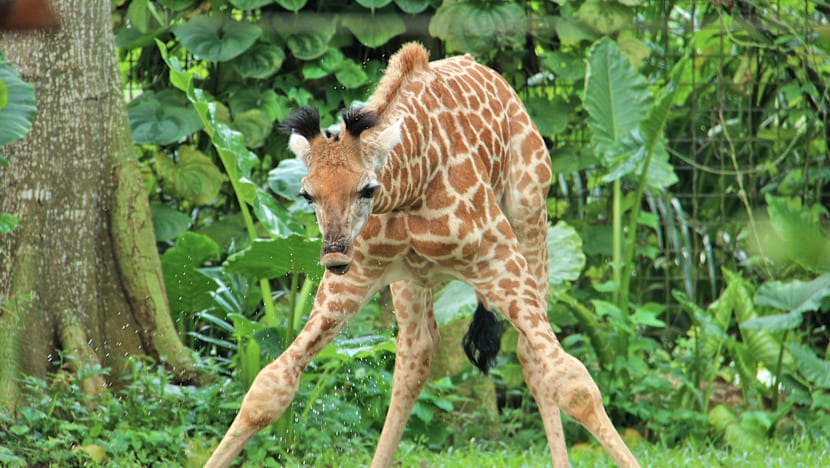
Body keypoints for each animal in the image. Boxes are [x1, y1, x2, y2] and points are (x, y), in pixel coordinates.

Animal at [205, 42, 639, 468]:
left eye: (367, 189)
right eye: (306, 194)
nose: (332, 259)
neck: (413, 183)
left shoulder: (498, 258)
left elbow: (574, 381)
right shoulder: (356, 276)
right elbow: (269, 385)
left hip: (532, 217)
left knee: (528, 355)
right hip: (408, 279)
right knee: (416, 356)